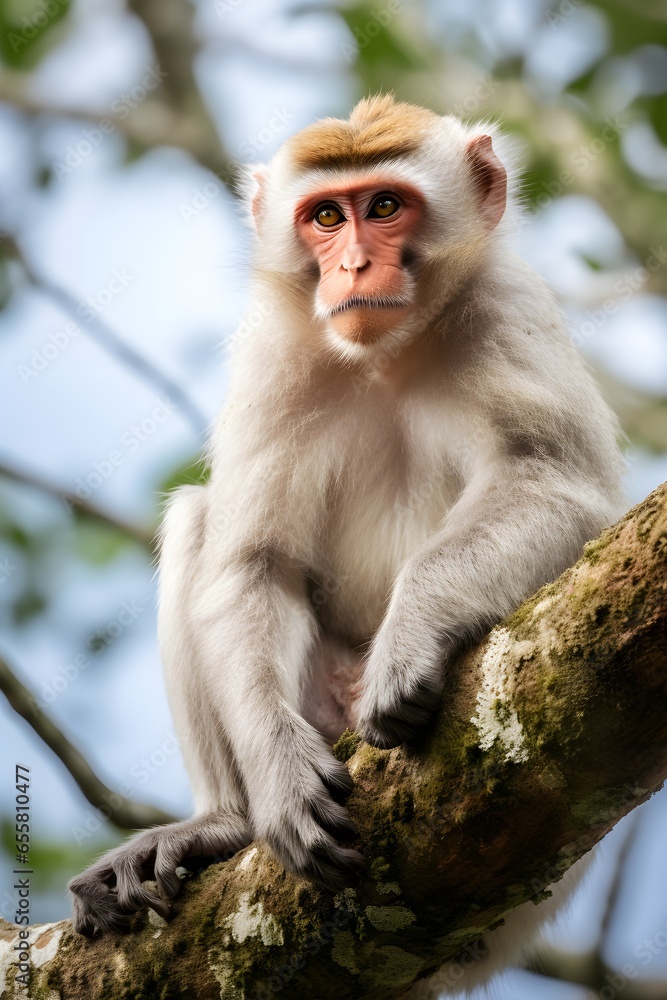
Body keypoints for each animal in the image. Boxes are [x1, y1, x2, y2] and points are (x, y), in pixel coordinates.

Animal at [69, 95, 626, 991]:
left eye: (386, 206)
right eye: (326, 217)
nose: (356, 266)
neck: (384, 357)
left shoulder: (508, 307)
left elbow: (553, 485)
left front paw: (408, 638)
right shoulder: (272, 352)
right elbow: (251, 563)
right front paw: (278, 781)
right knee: (199, 520)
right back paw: (223, 825)